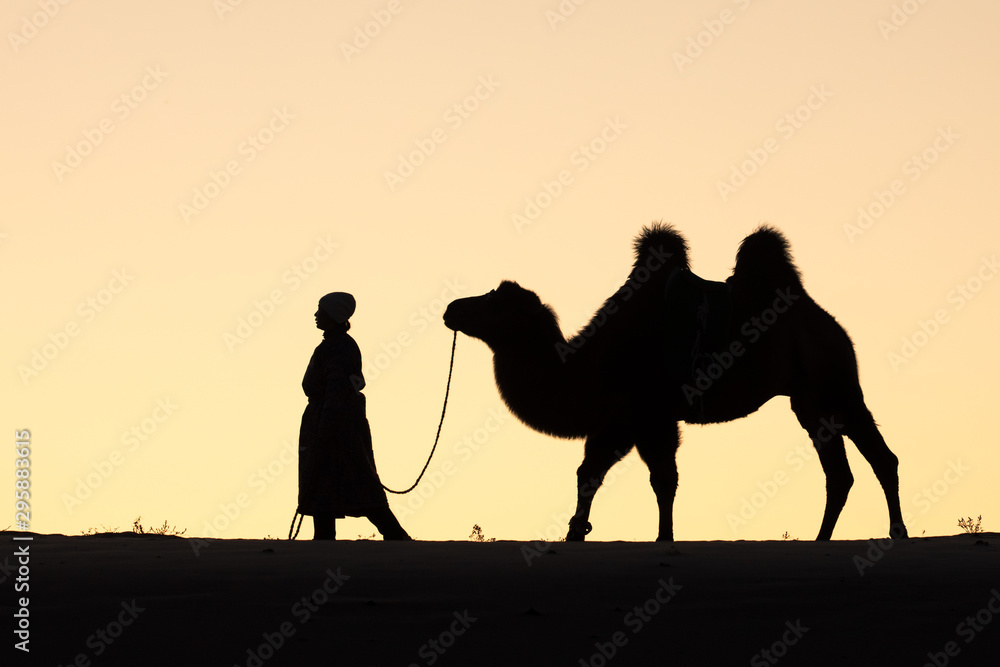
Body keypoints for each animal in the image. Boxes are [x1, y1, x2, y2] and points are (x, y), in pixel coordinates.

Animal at [443, 223, 907, 542]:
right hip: (809, 400)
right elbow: (589, 473)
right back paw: (821, 539)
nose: (451, 309)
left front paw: (663, 537)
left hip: (836, 383)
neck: (591, 362)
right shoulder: (621, 418)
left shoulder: (651, 414)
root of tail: (830, 325)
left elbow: (663, 480)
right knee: (841, 472)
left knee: (879, 458)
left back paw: (896, 532)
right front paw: (575, 533)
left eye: (496, 303)